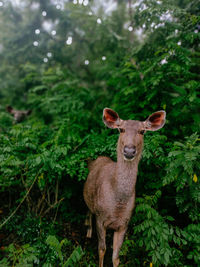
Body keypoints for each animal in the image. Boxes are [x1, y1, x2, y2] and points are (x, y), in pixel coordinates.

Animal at [83, 108, 166, 267]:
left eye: (142, 131)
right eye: (121, 129)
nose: (129, 151)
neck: (117, 205)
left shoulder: (124, 223)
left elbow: (116, 256)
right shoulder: (100, 218)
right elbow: (102, 249)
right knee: (89, 211)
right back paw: (88, 232)